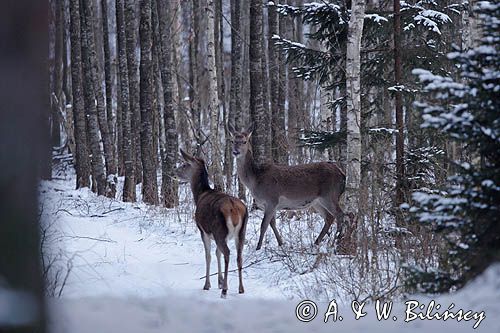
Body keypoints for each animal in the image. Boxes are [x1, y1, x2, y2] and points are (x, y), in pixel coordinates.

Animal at [174, 149, 248, 296]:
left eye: (185, 164)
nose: (174, 172)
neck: (199, 195)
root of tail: (234, 209)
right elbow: (217, 253)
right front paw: (219, 281)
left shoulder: (203, 230)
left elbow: (208, 255)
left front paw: (208, 284)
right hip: (241, 232)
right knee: (239, 256)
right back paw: (241, 288)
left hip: (219, 230)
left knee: (227, 253)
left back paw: (225, 290)